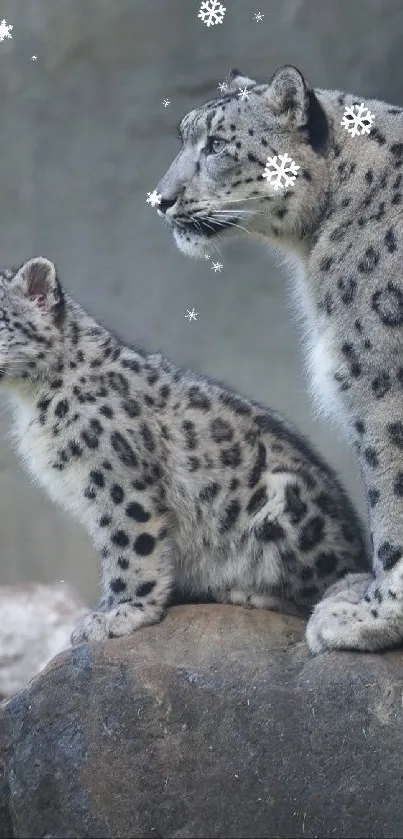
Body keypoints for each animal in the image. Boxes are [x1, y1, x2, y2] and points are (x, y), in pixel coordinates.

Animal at [0, 256, 370, 644]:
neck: (32, 399)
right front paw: (104, 608)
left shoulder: (120, 485)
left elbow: (129, 548)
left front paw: (120, 614)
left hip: (284, 501)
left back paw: (243, 591)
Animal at [157, 65, 403, 656]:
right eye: (184, 137)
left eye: (216, 145)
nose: (160, 199)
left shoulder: (380, 386)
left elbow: (392, 499)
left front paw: (371, 617)